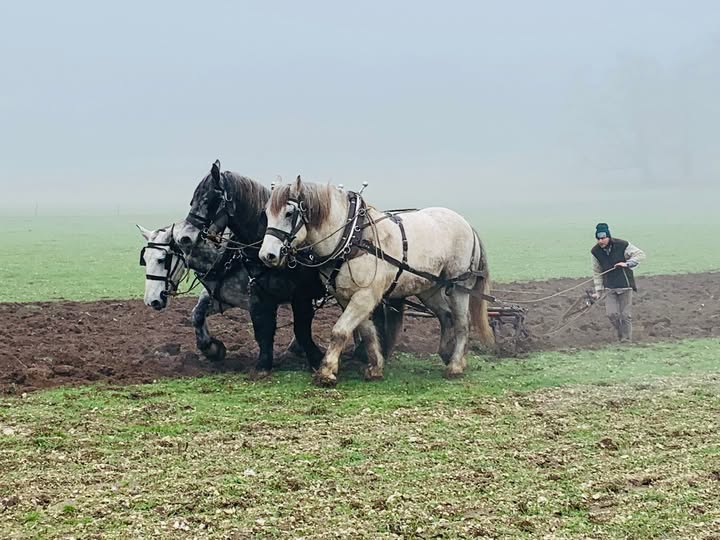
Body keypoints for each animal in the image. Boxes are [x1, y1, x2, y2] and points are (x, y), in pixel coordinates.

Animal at [138, 222, 311, 373]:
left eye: (162, 259)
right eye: (144, 259)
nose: (151, 301)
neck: (224, 257)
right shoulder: (225, 297)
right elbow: (197, 315)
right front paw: (212, 349)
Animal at [173, 161, 404, 374]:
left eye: (208, 199)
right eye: (192, 200)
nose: (183, 237)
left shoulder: (300, 296)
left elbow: (300, 329)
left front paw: (315, 358)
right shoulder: (257, 294)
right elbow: (259, 328)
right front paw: (255, 362)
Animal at [258, 176, 495, 385]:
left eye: (289, 213)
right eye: (267, 214)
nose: (267, 255)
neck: (351, 237)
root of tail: (466, 224)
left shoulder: (365, 295)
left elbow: (339, 331)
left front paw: (326, 372)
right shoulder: (347, 296)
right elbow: (367, 331)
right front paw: (375, 366)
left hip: (460, 286)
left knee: (462, 322)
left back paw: (455, 365)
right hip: (428, 287)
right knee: (445, 316)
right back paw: (447, 354)